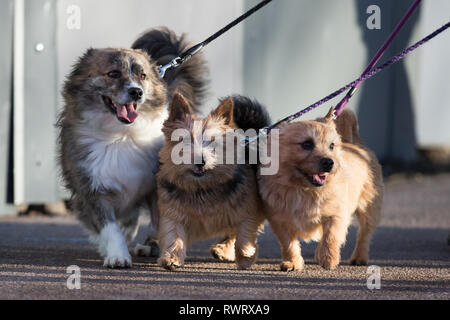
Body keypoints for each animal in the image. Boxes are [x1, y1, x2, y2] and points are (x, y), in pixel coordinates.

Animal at [56, 28, 209, 268]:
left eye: (142, 76)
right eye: (113, 74)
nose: (136, 92)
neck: (122, 135)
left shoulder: (157, 186)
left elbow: (159, 222)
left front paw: (163, 250)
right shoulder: (93, 190)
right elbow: (111, 228)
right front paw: (117, 256)